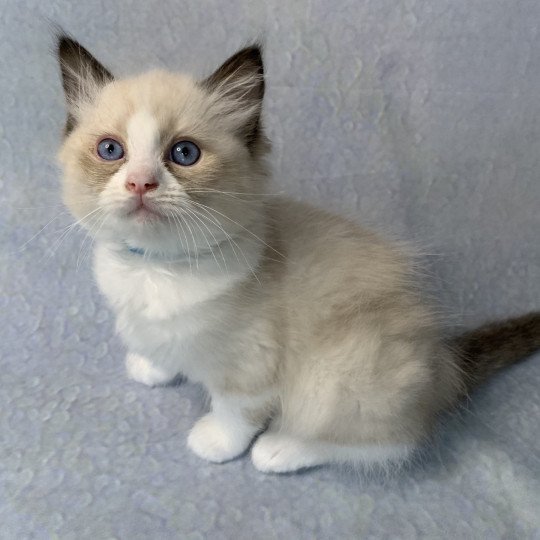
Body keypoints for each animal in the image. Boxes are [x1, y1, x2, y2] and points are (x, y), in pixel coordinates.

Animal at [56, 33, 540, 472]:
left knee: (392, 441)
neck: (156, 268)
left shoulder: (252, 365)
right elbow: (161, 347)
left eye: (184, 153)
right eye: (111, 150)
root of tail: (444, 361)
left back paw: (281, 449)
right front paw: (152, 367)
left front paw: (216, 443)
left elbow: (235, 410)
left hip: (338, 374)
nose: (140, 182)